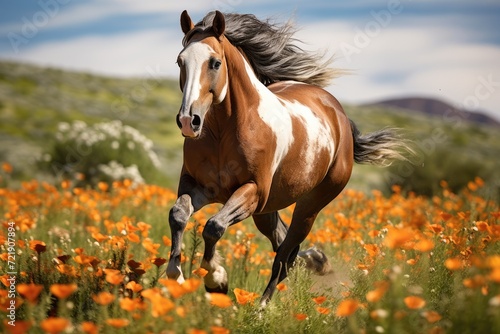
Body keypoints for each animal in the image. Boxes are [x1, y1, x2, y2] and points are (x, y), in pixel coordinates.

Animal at [166, 9, 412, 306]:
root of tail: (338, 113)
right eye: (180, 61)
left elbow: (214, 226)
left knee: (284, 256)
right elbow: (178, 215)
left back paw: (262, 306)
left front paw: (217, 280)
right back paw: (318, 261)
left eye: (215, 63)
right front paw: (176, 276)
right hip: (266, 211)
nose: (188, 121)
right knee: (286, 244)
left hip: (308, 205)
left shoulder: (252, 191)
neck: (225, 131)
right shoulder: (199, 186)